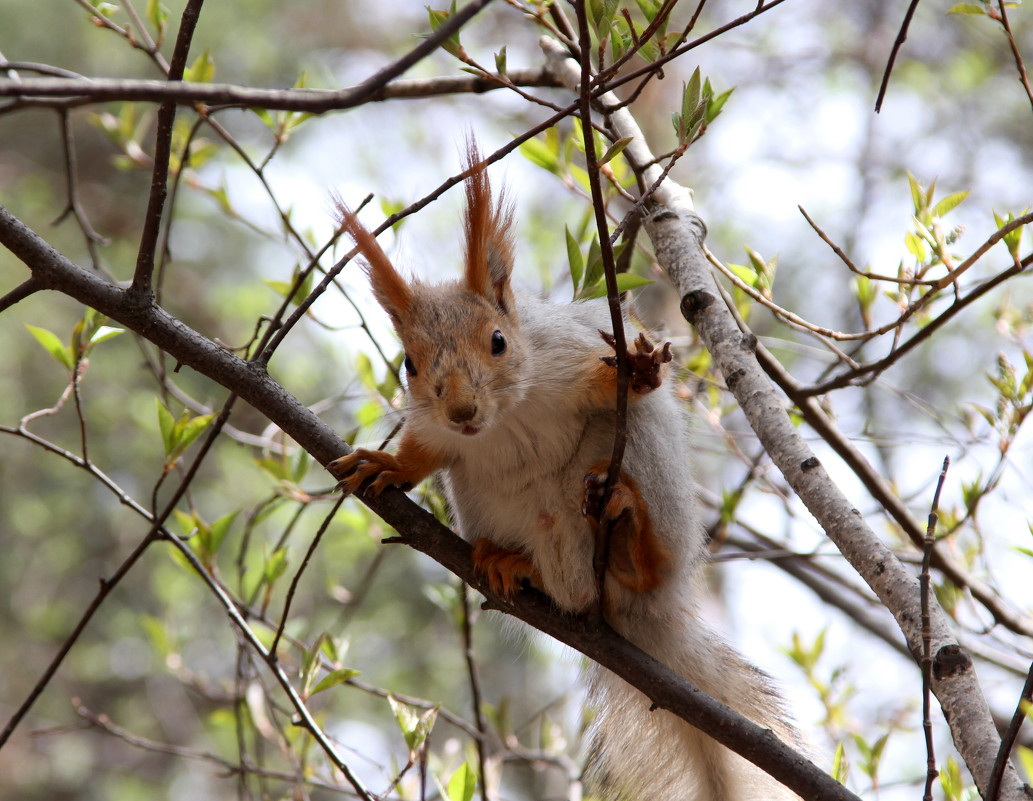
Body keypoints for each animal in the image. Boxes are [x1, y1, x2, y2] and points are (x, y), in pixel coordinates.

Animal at [328, 143, 797, 801]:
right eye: (409, 365)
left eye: (498, 341)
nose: (462, 412)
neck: (503, 419)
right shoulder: (442, 437)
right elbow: (426, 454)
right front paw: (387, 464)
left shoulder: (567, 359)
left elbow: (603, 384)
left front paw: (633, 371)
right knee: (567, 591)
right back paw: (512, 562)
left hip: (642, 466)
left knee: (636, 564)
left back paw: (630, 540)